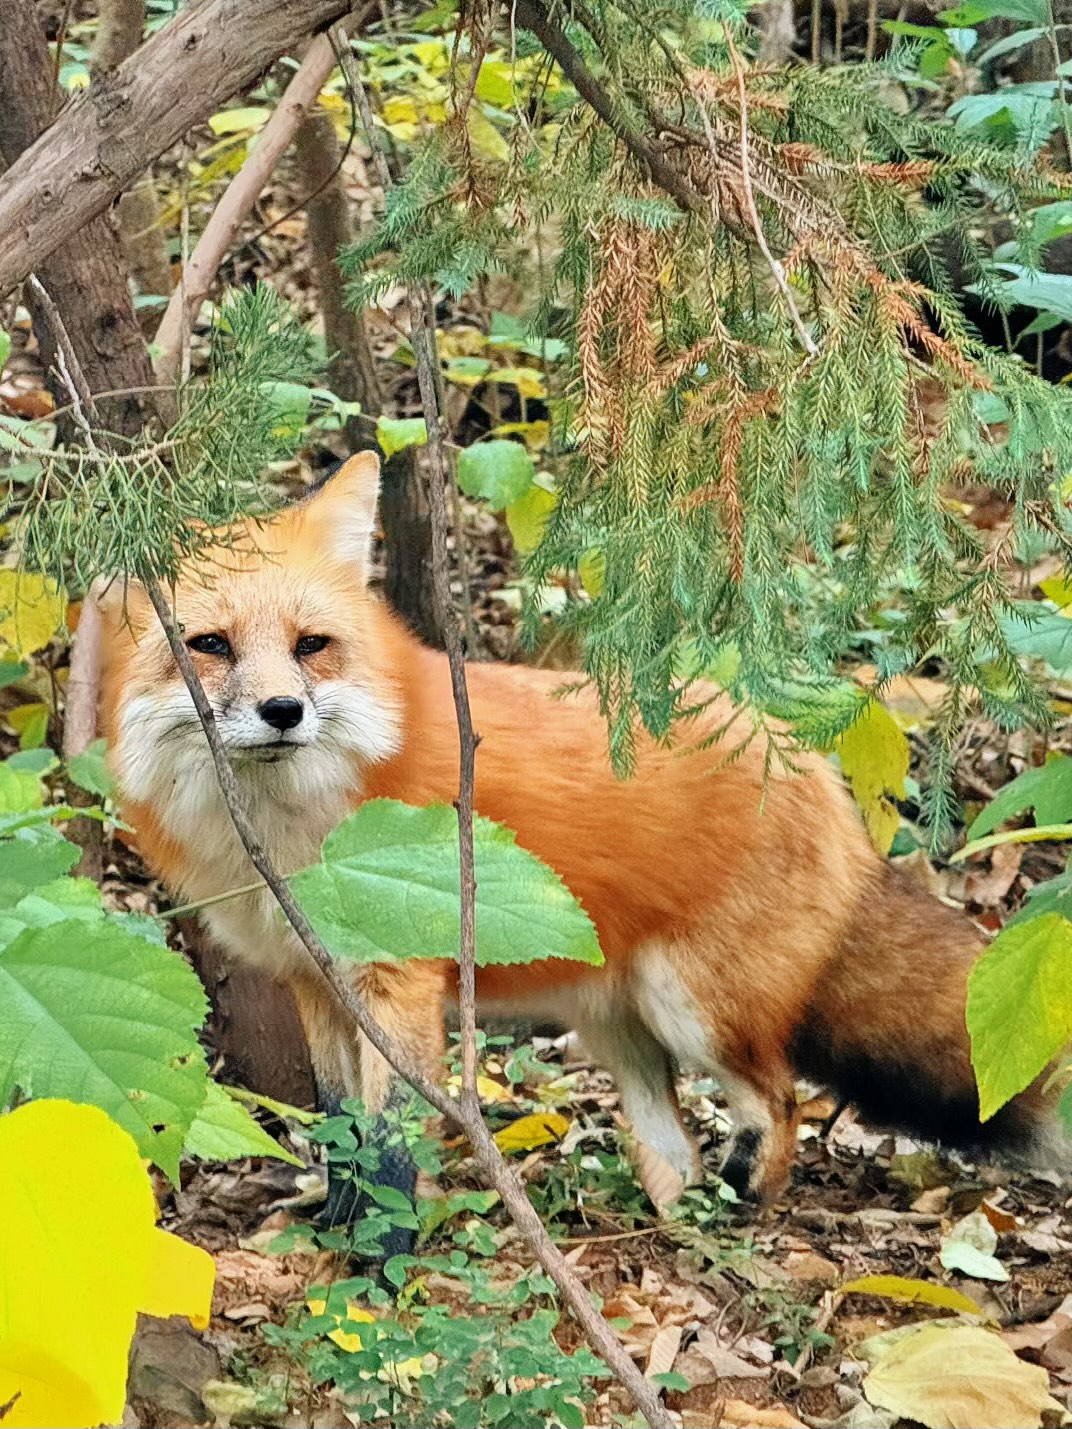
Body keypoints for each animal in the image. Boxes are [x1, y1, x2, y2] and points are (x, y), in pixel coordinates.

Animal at [98, 451, 1069, 1234]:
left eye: (311, 646)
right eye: (210, 645)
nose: (282, 711)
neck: (300, 831)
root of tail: (811, 767)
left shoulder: (399, 981)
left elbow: (391, 1144)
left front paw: (380, 1257)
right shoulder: (317, 979)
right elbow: (343, 1130)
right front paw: (335, 1228)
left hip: (696, 1006)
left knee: (781, 1099)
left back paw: (743, 1204)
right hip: (617, 1024)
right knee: (674, 1140)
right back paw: (671, 1217)